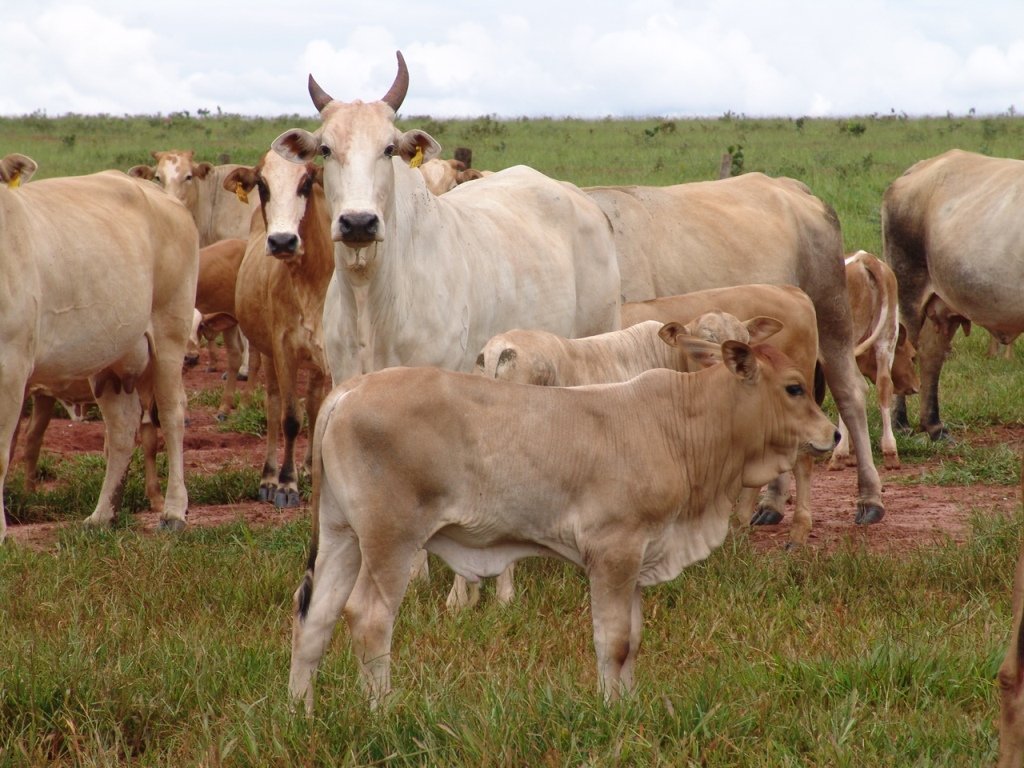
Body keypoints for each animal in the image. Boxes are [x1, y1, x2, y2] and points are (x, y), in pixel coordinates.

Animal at [0, 153, 199, 540]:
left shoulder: (11, 368)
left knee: (172, 414)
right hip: (112, 357)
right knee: (121, 428)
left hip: (171, 330)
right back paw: (103, 514)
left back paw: (173, 511)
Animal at [223, 150, 334, 508]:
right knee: (273, 405)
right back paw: (269, 477)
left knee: (313, 402)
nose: (283, 241)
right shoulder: (283, 348)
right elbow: (290, 418)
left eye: (306, 182)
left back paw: (311, 467)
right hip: (266, 351)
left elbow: (319, 410)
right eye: (262, 185)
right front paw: (286, 483)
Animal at [288, 336, 839, 711]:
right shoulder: (614, 552)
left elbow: (633, 640)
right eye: (793, 388)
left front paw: (628, 707)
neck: (679, 426)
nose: (833, 434)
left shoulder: (637, 559)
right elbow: (613, 641)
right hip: (391, 540)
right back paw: (381, 711)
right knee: (369, 618)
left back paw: (300, 712)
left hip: (342, 536)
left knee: (314, 617)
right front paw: (612, 711)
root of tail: (349, 390)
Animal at [830, 250, 919, 470]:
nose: (916, 387)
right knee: (884, 386)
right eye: (913, 356)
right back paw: (890, 451)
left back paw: (839, 454)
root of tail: (865, 258)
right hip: (887, 336)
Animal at [882, 149, 1024, 441]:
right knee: (900, 351)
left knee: (930, 354)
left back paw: (933, 425)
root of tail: (919, 168)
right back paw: (900, 423)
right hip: (907, 290)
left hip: (943, 304)